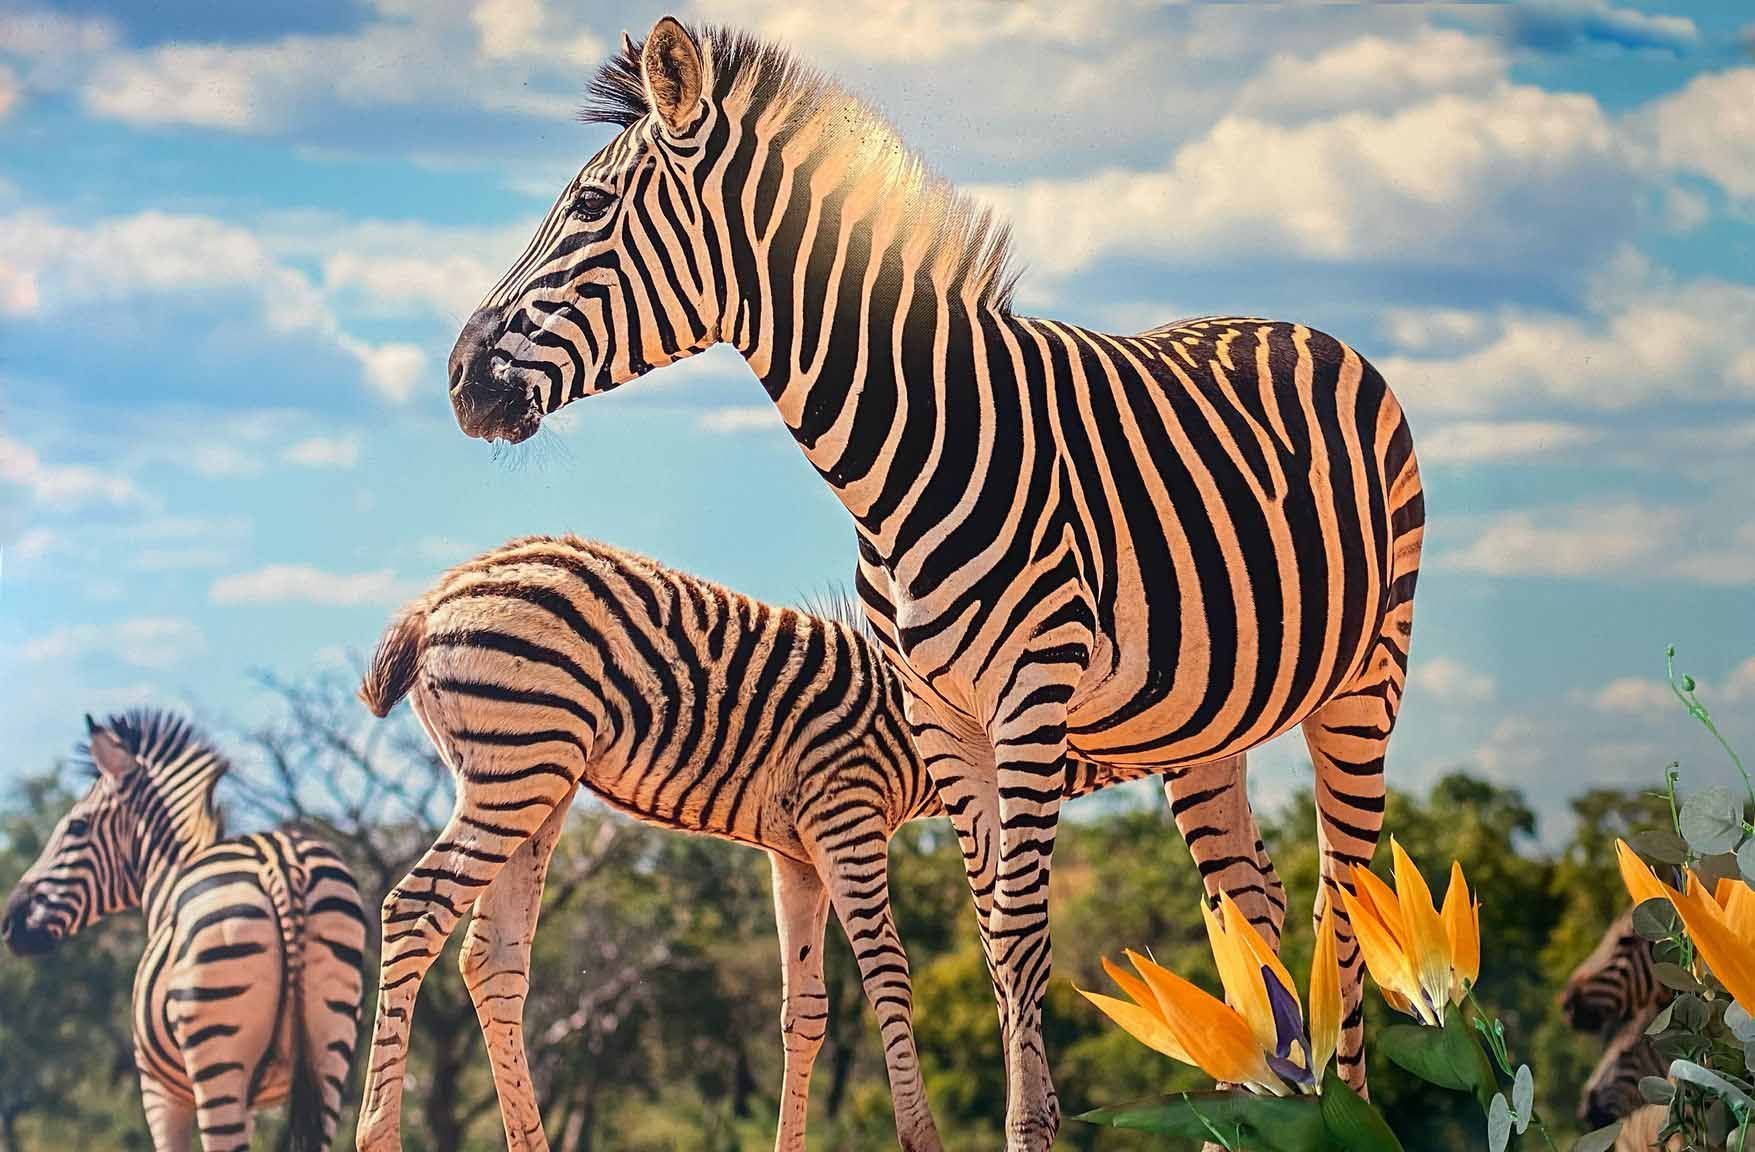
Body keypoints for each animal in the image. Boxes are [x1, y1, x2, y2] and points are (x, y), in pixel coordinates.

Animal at [1, 710, 366, 1152]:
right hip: (331, 1048)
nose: (11, 921)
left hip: (215, 1056)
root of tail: (279, 863)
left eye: (76, 826)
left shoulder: (157, 1091)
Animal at [349, 533, 1290, 1152]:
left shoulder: (793, 853)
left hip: (535, 784)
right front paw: (921, 1136)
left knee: (491, 961)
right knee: (412, 910)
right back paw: (378, 1136)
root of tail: (436, 597)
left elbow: (802, 1009)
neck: (919, 722)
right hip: (517, 766)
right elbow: (889, 974)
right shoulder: (846, 813)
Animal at [444, 20, 1424, 1147]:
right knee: (1254, 903)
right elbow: (992, 936)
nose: (459, 380)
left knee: (1345, 897)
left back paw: (1349, 1110)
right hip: (1202, 729)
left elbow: (1022, 931)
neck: (905, 460)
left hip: (1366, 681)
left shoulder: (1030, 698)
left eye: (591, 207)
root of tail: (1302, 327)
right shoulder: (942, 714)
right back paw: (1275, 1110)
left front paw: (1028, 1125)